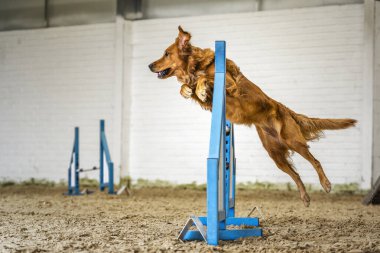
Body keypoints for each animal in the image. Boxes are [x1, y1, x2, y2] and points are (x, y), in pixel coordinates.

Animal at [148, 26, 356, 208]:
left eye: (166, 53)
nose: (149, 65)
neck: (196, 65)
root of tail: (283, 108)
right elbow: (188, 86)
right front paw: (186, 90)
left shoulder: (230, 85)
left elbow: (204, 78)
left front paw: (199, 87)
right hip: (275, 155)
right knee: (295, 175)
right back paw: (305, 198)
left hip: (293, 140)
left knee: (316, 161)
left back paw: (326, 184)